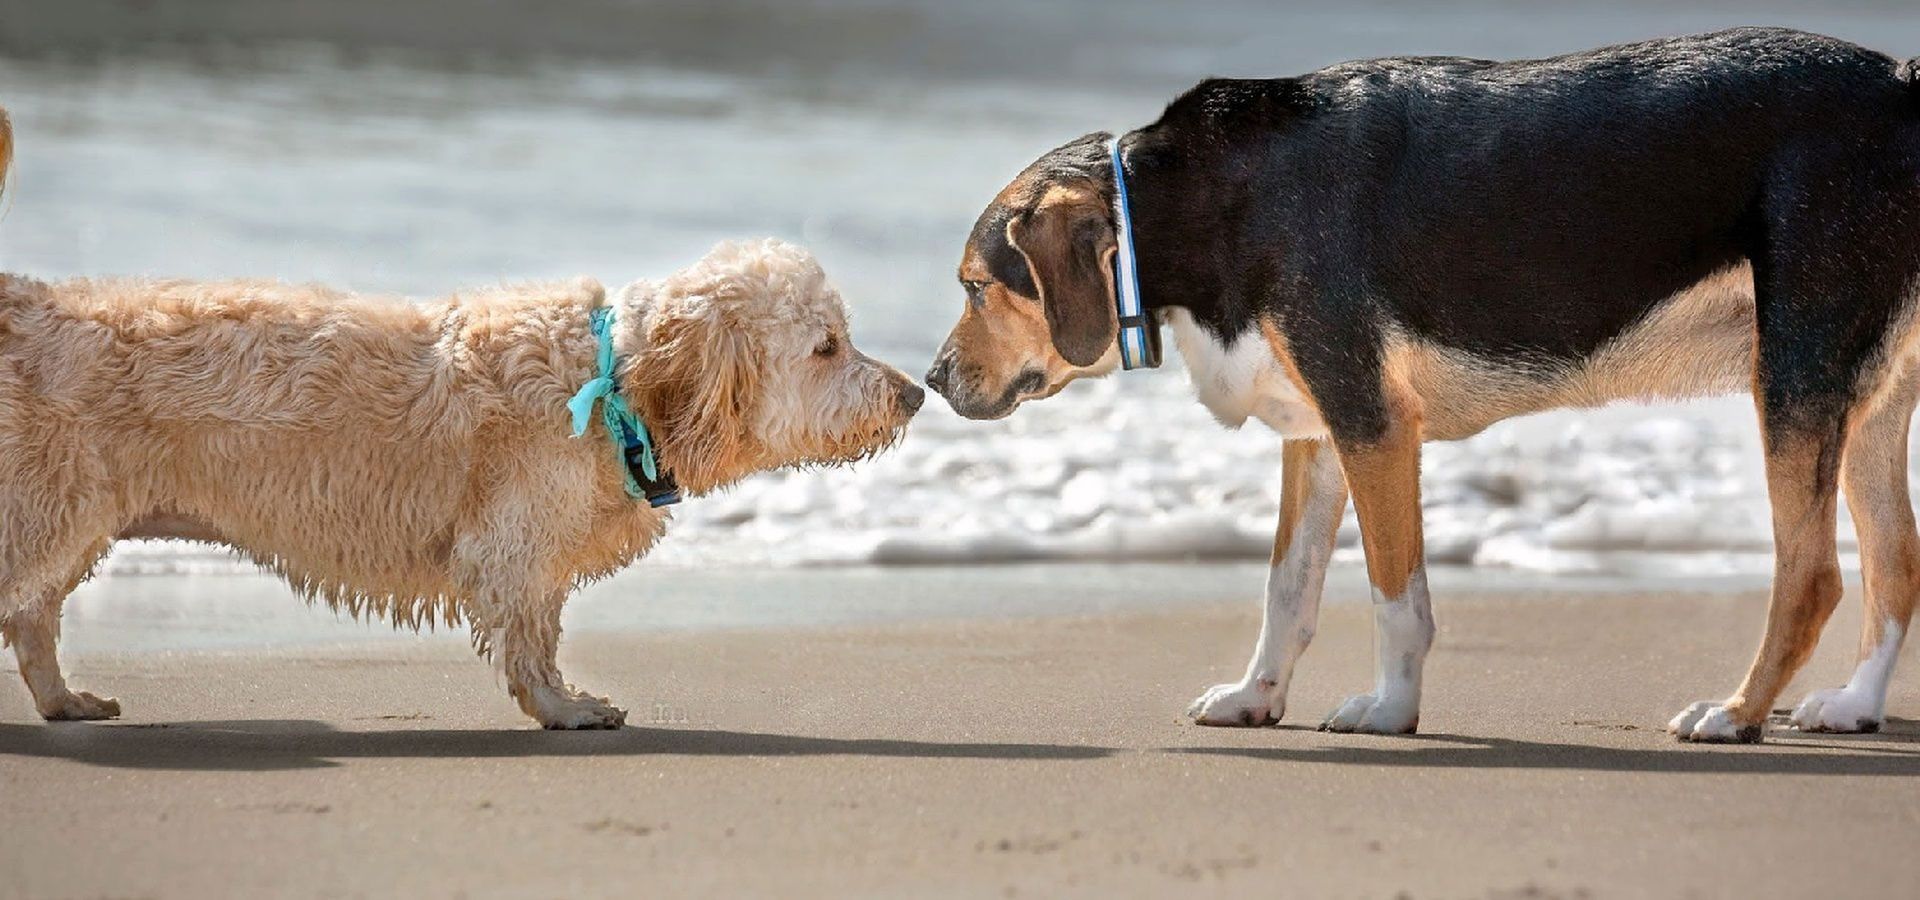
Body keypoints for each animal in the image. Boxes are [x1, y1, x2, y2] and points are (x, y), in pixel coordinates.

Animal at [0, 196, 921, 721]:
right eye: (828, 347)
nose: (915, 394)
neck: (613, 380)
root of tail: (26, 305)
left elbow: (540, 628)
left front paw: (561, 700)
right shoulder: (514, 544)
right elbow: (527, 633)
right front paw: (558, 708)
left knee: (33, 618)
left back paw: (63, 701)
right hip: (42, 514)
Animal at [925, 29, 1920, 744]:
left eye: (974, 286)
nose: (931, 381)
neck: (1212, 198)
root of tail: (1901, 82)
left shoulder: (1373, 426)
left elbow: (1395, 598)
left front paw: (1391, 711)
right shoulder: (1319, 437)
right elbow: (1287, 592)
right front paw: (1257, 695)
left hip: (1794, 376)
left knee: (1814, 576)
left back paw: (1737, 714)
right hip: (1867, 407)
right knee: (1895, 563)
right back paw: (1853, 705)